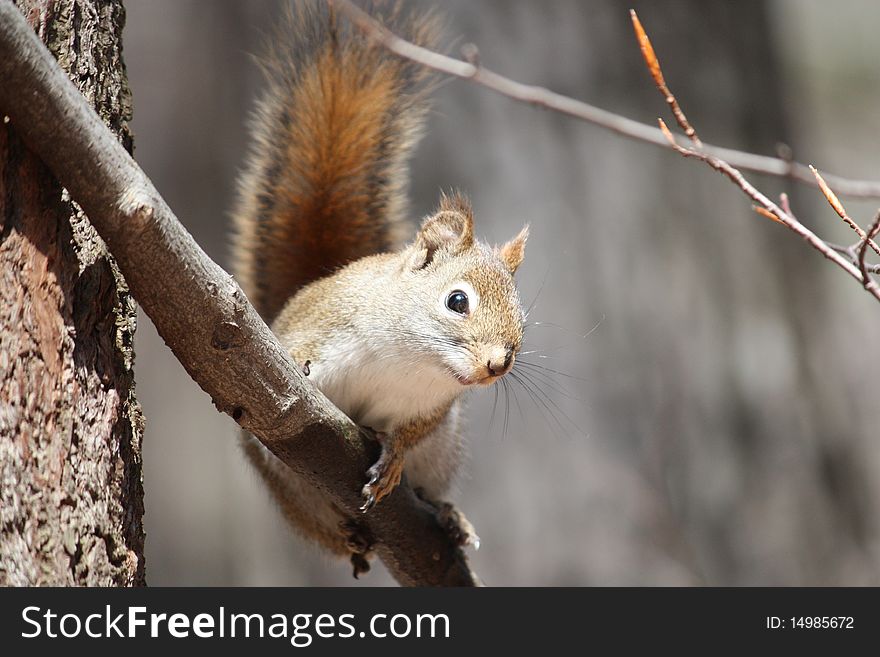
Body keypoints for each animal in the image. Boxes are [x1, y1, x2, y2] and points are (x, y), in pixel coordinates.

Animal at [230, 0, 524, 576]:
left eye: (523, 323)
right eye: (457, 301)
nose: (497, 365)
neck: (410, 359)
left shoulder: (436, 410)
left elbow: (412, 431)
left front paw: (394, 457)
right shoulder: (325, 318)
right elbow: (296, 352)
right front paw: (297, 365)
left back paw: (450, 517)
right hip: (290, 491)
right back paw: (346, 534)